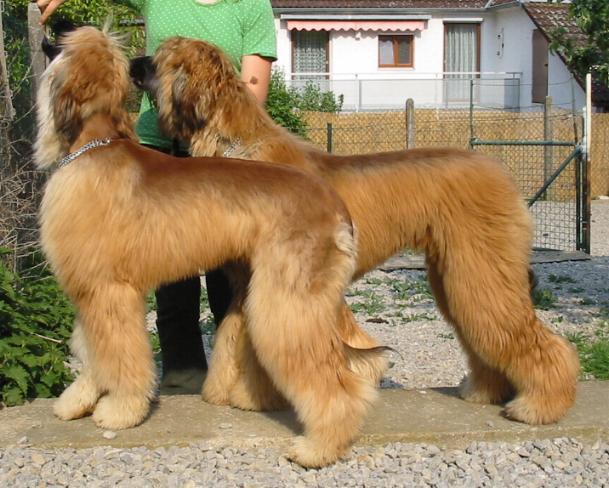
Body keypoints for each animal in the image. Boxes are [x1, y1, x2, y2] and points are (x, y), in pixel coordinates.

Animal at [131, 37, 581, 427]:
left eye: (159, 58)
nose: (133, 62)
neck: (239, 149)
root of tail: (500, 170)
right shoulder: (251, 280)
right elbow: (232, 337)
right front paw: (234, 393)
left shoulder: (280, 281)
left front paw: (259, 397)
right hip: (456, 272)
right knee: (483, 332)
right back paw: (485, 391)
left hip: (481, 264)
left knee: (530, 337)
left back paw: (541, 405)